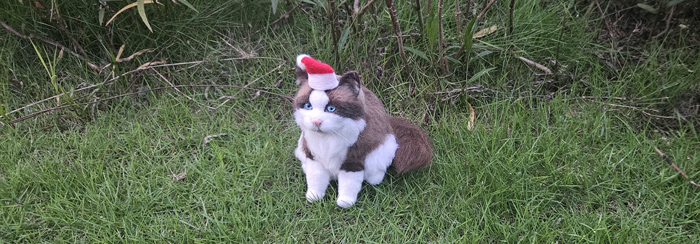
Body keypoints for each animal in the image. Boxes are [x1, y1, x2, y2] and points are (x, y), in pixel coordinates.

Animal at [292, 54, 432, 208]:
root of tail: (389, 123)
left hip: (382, 151)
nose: (316, 121)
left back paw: (374, 180)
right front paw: (314, 197)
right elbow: (316, 179)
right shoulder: (313, 156)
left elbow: (349, 184)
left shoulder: (354, 160)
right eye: (308, 106)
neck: (327, 139)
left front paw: (345, 202)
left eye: (331, 108)